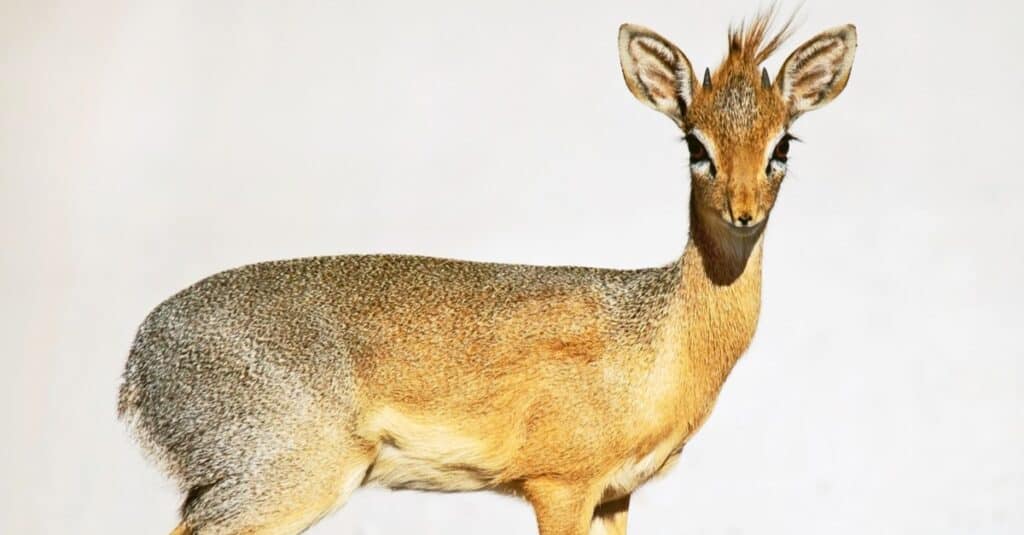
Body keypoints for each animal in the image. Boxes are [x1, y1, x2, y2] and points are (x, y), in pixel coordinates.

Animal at [117, 12, 856, 532]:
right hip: (278, 482)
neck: (660, 336)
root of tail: (137, 362)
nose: (742, 211)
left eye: (782, 144)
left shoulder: (614, 494)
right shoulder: (559, 485)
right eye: (695, 145)